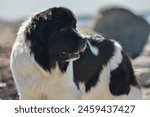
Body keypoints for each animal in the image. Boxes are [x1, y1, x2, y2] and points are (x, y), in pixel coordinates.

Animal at [9, 6, 141, 99]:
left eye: (74, 26)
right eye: (62, 29)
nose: (84, 40)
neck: (45, 66)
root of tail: (117, 45)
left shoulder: (67, 93)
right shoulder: (28, 94)